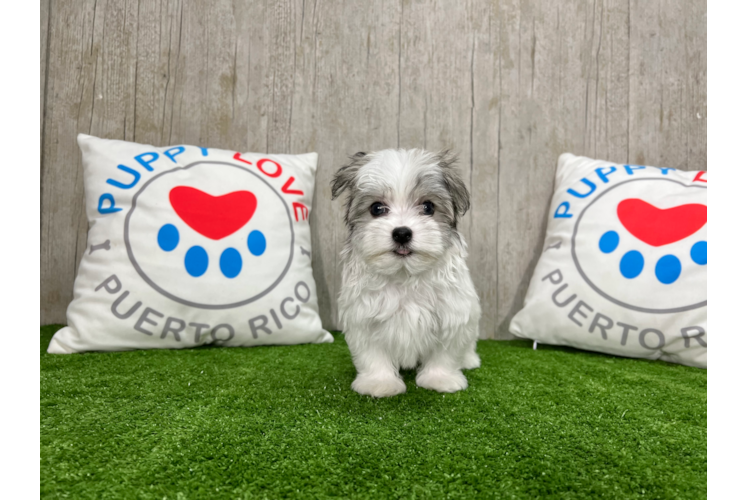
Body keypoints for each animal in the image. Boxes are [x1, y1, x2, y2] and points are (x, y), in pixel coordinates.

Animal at [330, 149, 482, 398]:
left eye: (428, 207)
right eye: (377, 208)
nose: (402, 233)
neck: (405, 276)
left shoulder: (452, 314)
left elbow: (446, 353)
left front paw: (440, 379)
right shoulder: (364, 318)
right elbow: (372, 355)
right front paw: (379, 383)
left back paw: (469, 360)